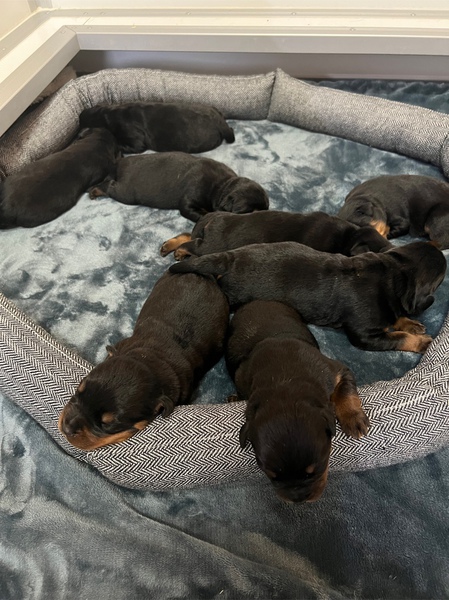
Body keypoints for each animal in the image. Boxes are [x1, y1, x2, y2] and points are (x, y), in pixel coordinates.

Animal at [89, 152, 269, 223]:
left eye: (267, 209)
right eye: (249, 212)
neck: (222, 186)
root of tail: (120, 163)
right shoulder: (188, 202)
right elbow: (202, 214)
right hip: (126, 192)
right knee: (109, 186)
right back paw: (95, 191)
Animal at [170, 240, 446, 353]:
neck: (394, 270)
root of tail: (230, 258)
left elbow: (397, 317)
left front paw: (410, 323)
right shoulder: (365, 335)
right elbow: (397, 338)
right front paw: (421, 342)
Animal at [226, 300, 369, 503]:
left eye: (315, 470)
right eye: (272, 477)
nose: (298, 499)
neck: (286, 380)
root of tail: (257, 300)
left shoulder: (336, 370)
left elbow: (345, 390)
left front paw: (354, 419)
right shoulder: (242, 378)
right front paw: (235, 397)